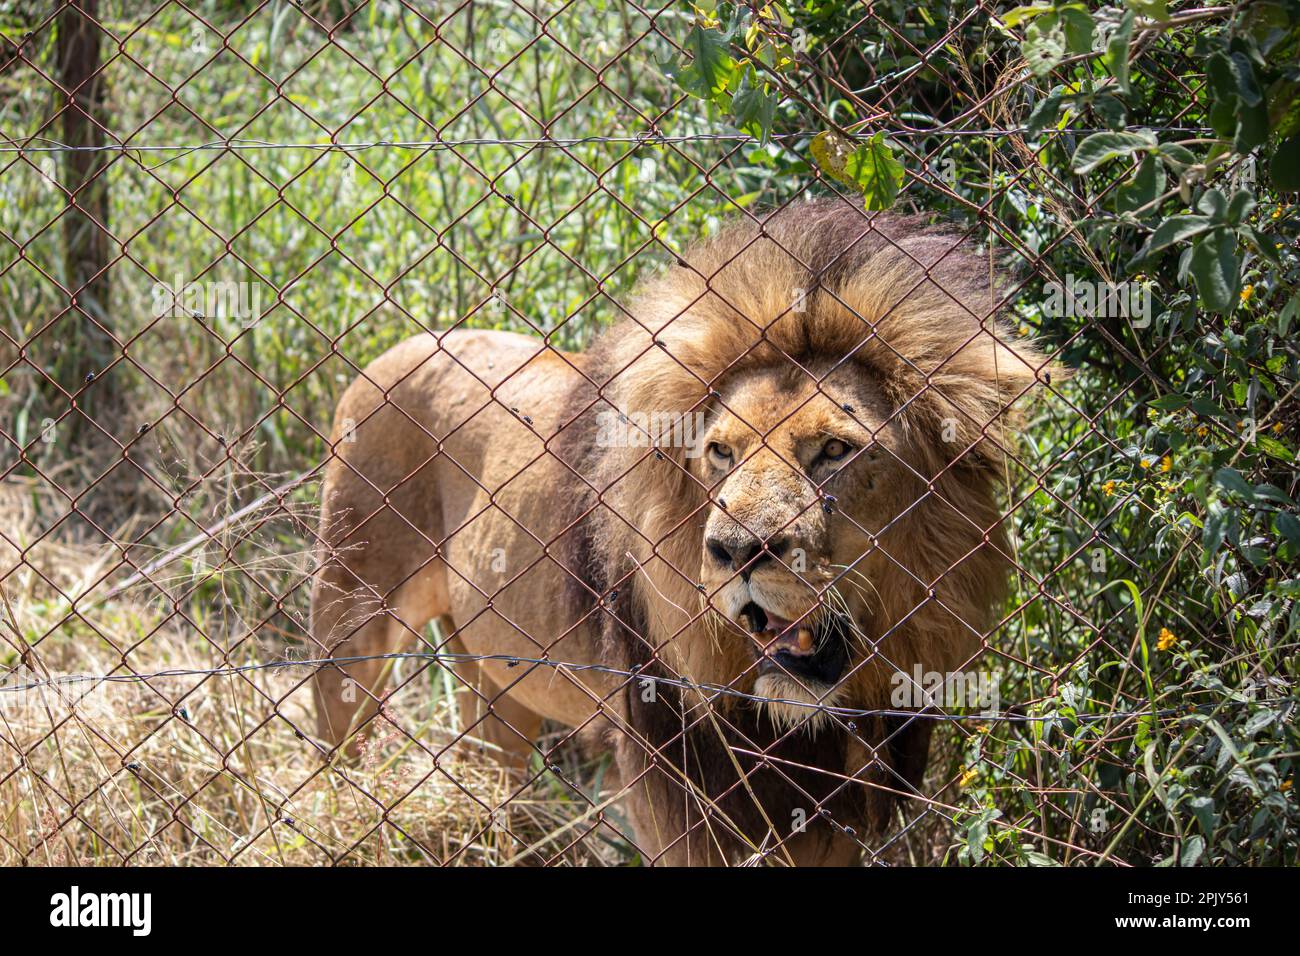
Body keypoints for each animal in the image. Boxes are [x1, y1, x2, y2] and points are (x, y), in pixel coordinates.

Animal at [309, 200, 1050, 868]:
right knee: (337, 743)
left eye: (835, 451)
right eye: (720, 452)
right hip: (351, 622)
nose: (737, 552)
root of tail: (397, 351)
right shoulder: (672, 788)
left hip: (495, 676)